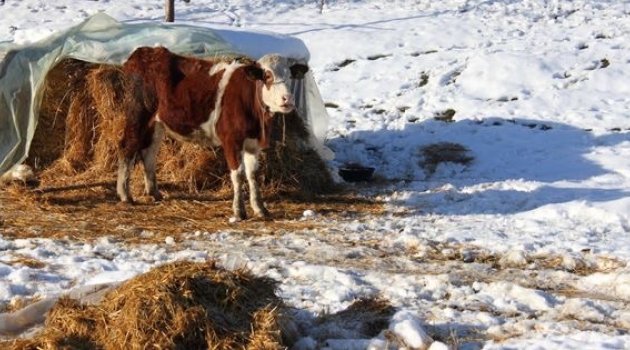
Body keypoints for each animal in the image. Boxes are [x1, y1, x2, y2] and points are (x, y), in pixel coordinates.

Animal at [117, 46, 310, 220]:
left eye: (290, 77)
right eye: (268, 76)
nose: (288, 99)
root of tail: (144, 52)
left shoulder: (253, 144)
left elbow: (253, 175)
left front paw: (260, 209)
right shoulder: (231, 141)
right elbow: (238, 175)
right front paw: (239, 211)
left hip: (156, 123)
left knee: (149, 152)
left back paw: (154, 193)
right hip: (138, 114)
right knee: (127, 147)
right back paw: (125, 195)